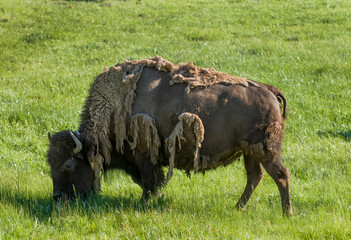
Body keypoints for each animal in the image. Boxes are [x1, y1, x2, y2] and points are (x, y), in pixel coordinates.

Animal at [47, 56, 294, 216]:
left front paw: (145, 203)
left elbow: (148, 181)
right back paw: (238, 207)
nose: (58, 197)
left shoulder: (144, 155)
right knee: (255, 176)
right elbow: (146, 181)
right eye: (50, 162)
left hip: (266, 150)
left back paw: (286, 213)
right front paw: (153, 199)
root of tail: (269, 89)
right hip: (250, 151)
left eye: (68, 164)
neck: (114, 106)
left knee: (280, 175)